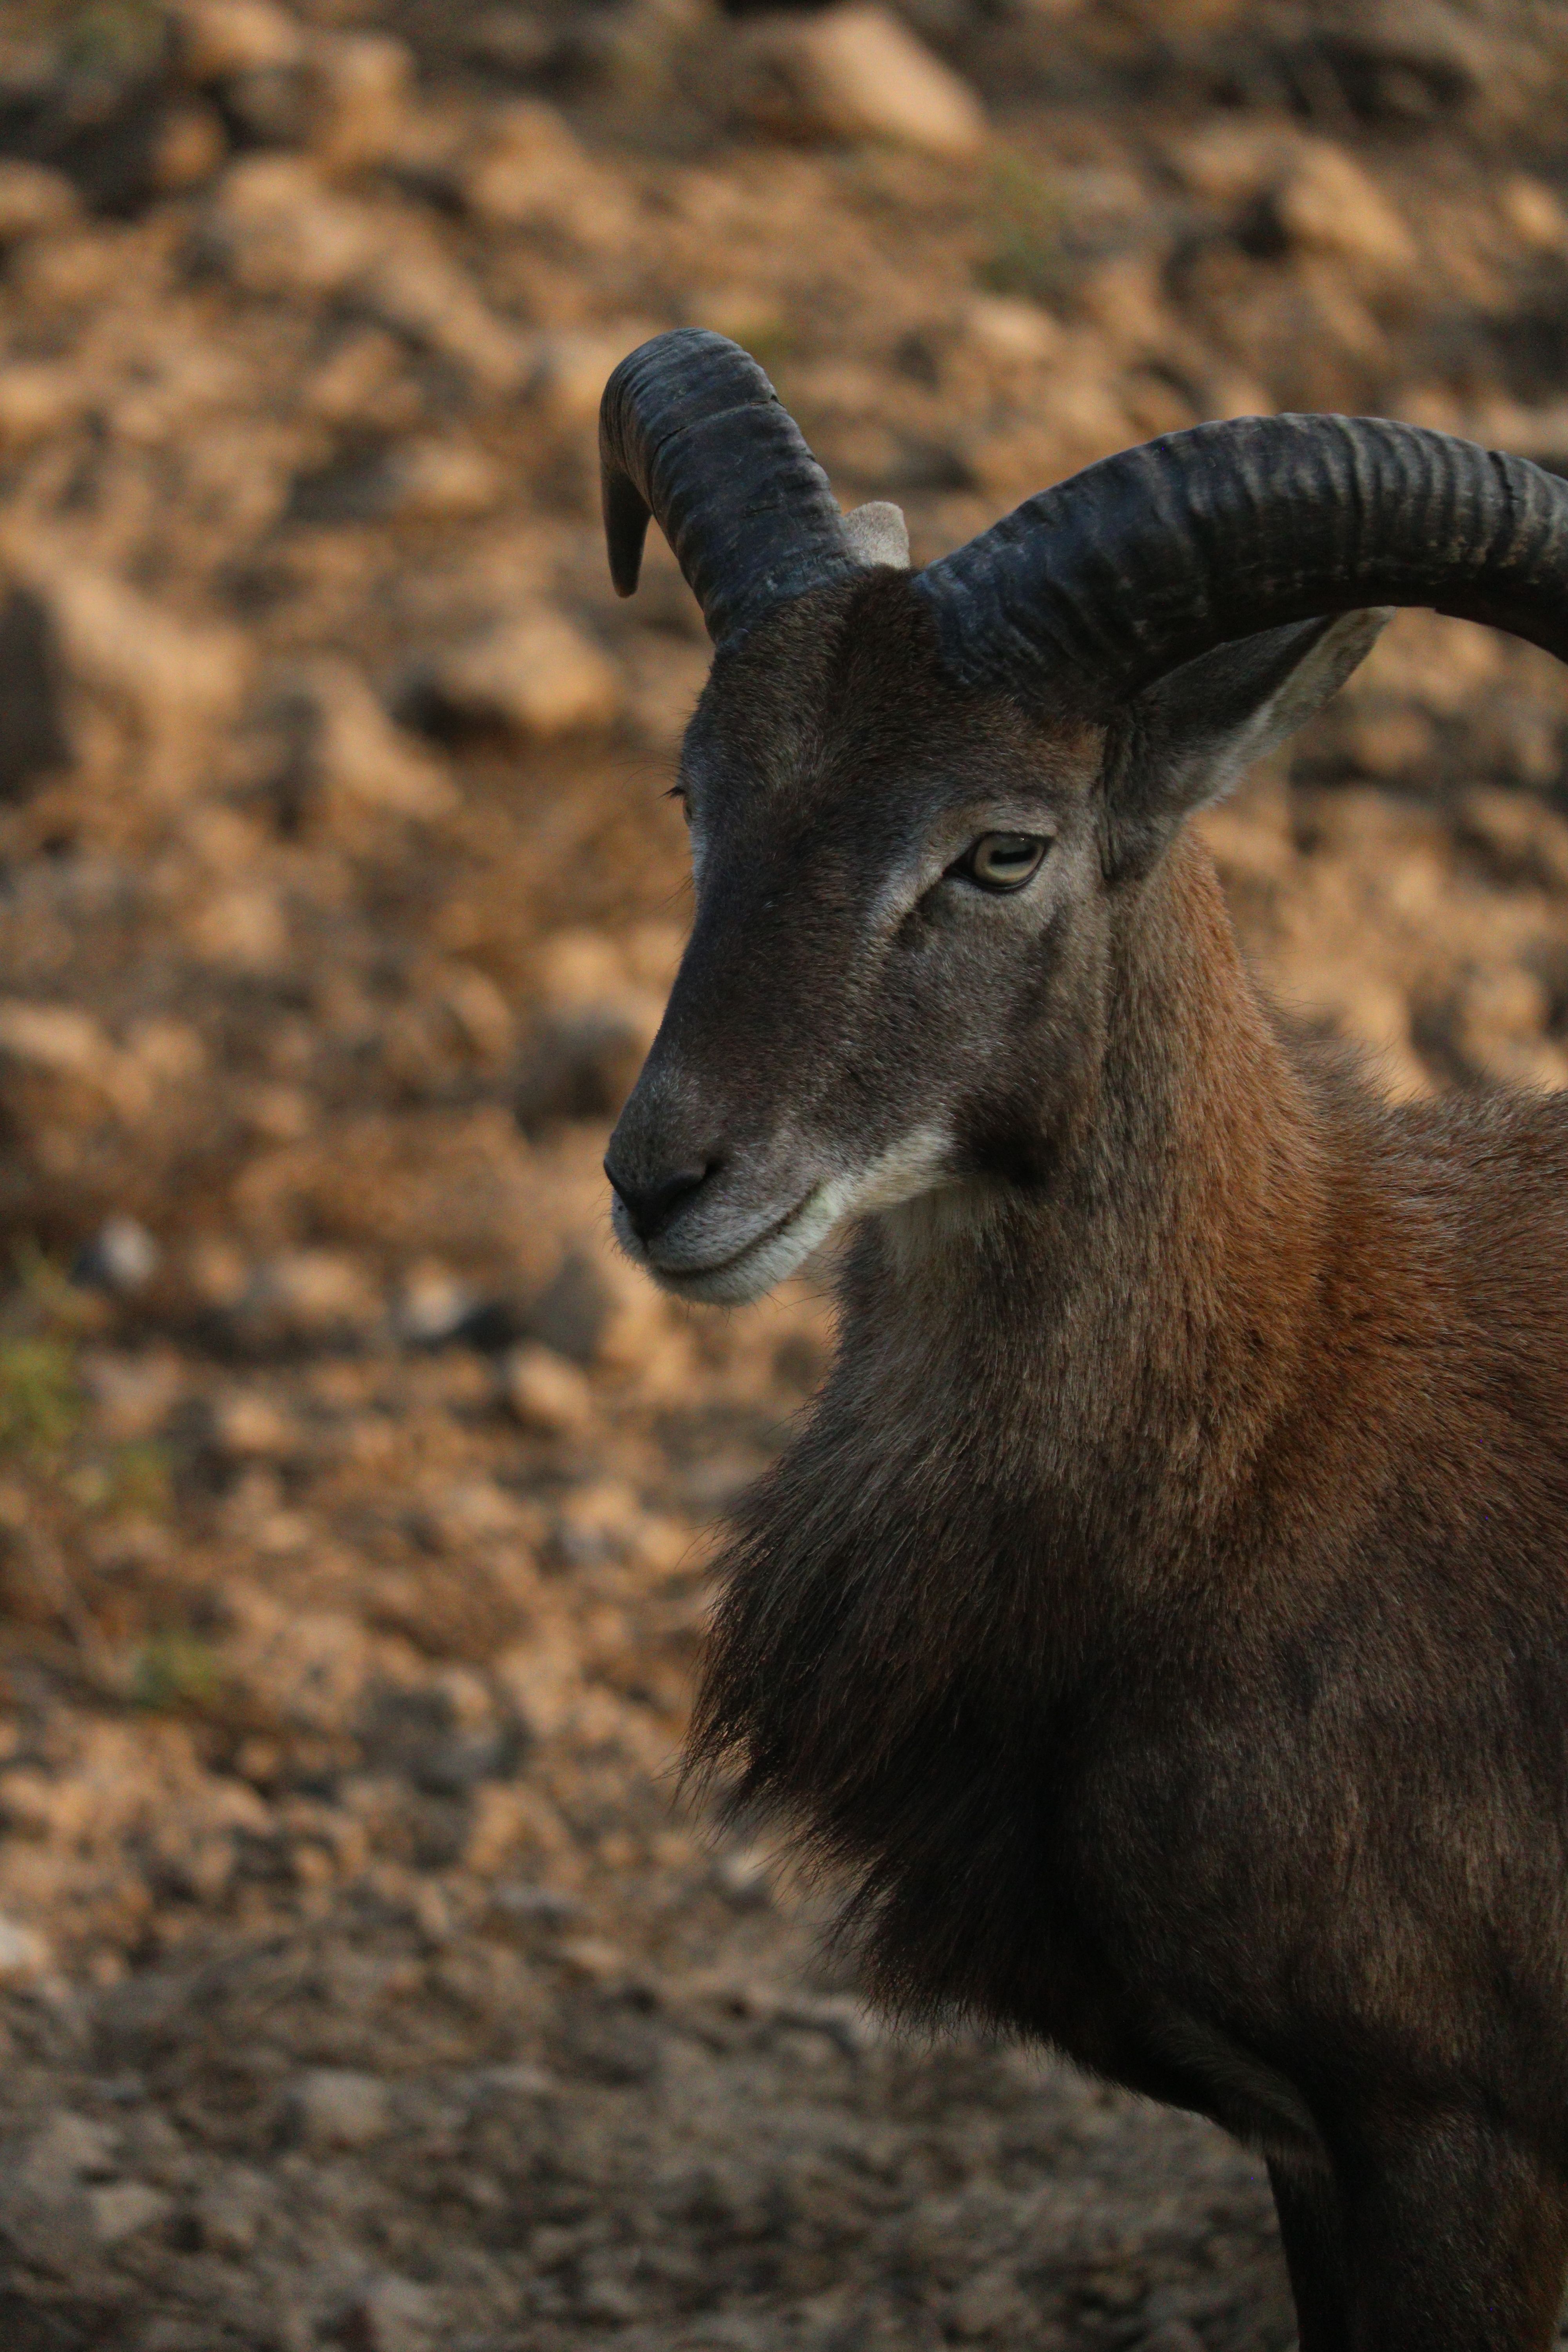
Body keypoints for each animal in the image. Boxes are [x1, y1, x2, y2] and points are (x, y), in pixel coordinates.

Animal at [598, 326, 1568, 2351]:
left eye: (1000, 848)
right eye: (698, 795)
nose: (668, 1180)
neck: (1277, 1443)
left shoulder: (1458, 2135)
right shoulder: (1315, 2160)